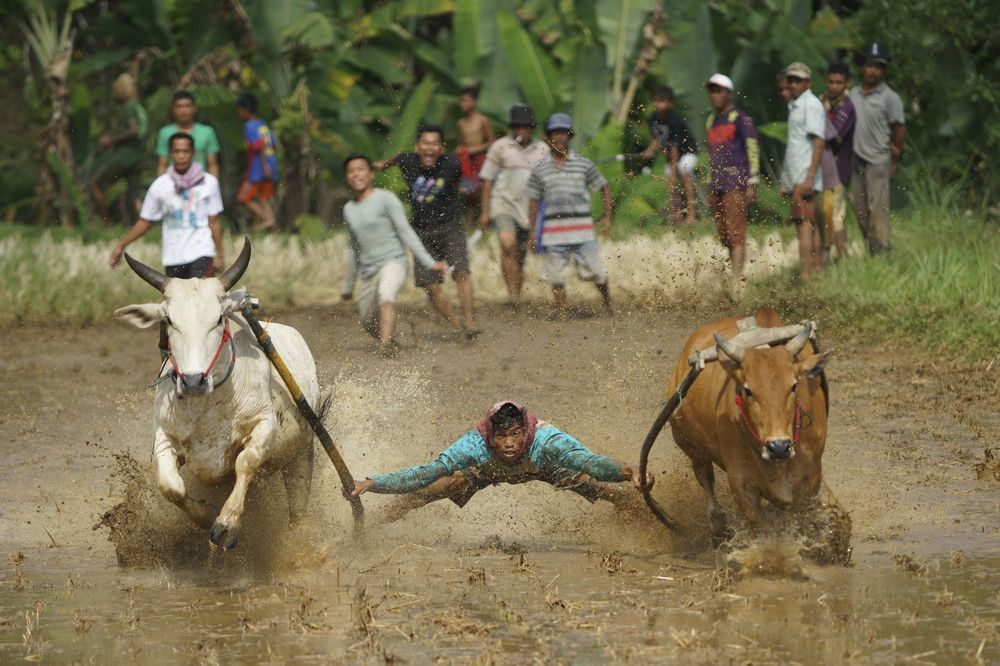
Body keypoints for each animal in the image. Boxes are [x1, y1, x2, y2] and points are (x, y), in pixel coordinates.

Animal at [114, 240, 319, 550]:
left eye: (219, 318)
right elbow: (170, 486)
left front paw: (227, 522)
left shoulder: (264, 424)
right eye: (168, 320)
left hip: (301, 455)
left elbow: (245, 462)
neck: (206, 406)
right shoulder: (164, 434)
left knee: (298, 509)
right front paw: (207, 514)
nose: (193, 380)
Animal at [666, 307, 832, 540]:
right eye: (748, 390)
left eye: (793, 386)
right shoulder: (741, 486)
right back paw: (718, 525)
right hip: (690, 446)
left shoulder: (811, 479)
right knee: (706, 477)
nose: (778, 446)